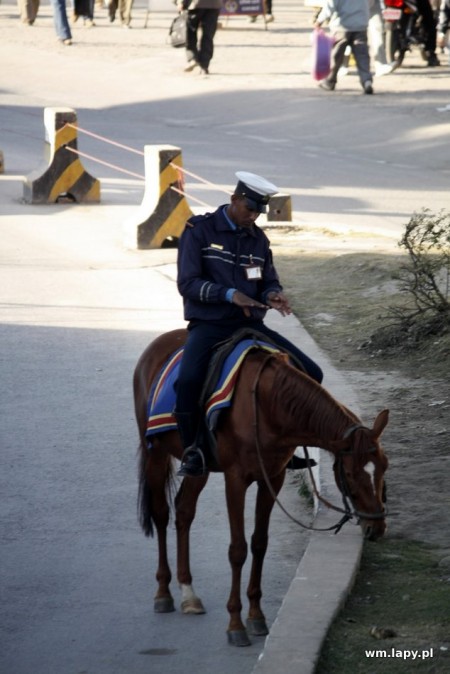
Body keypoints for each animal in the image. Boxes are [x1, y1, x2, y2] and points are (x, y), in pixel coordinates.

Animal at [132, 328, 388, 644]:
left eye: (385, 466)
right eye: (350, 475)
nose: (377, 527)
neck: (269, 405)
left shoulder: (273, 479)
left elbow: (259, 543)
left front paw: (256, 616)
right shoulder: (236, 480)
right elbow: (238, 549)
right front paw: (235, 624)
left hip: (199, 467)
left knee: (184, 510)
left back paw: (188, 593)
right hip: (154, 453)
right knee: (161, 513)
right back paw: (164, 592)